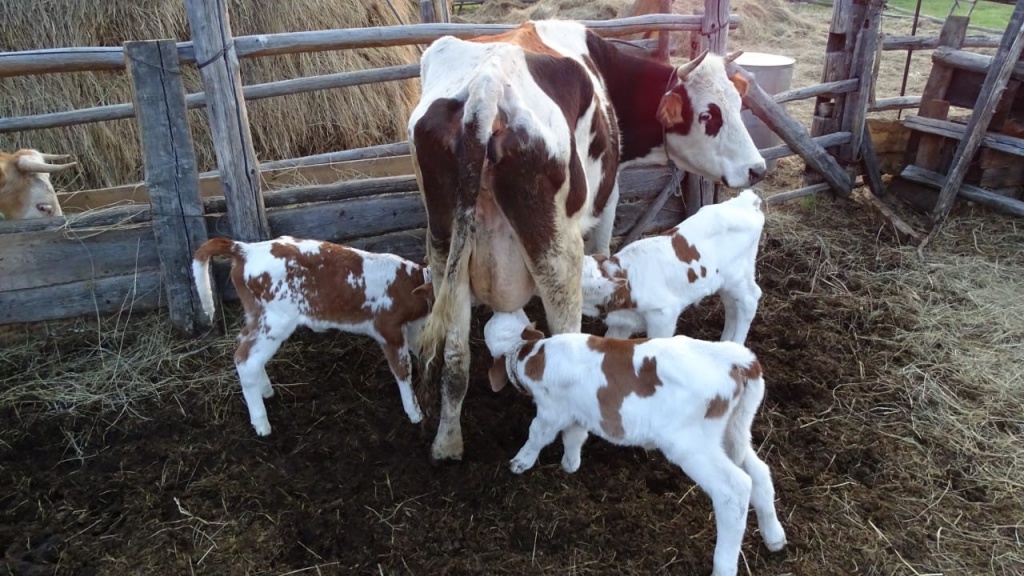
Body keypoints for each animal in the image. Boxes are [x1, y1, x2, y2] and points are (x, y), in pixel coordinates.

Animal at [408, 19, 765, 461]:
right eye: (708, 114)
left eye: (738, 104)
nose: (757, 169)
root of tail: (486, 85)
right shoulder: (607, 198)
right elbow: (604, 247)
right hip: (557, 252)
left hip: (445, 249)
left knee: (456, 356)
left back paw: (447, 442)